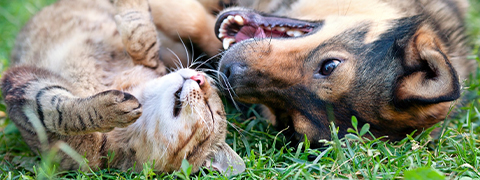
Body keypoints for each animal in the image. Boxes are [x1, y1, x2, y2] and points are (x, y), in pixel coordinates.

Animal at [0, 0, 244, 176]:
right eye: (209, 86)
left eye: (211, 112)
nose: (200, 77)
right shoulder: (152, 61)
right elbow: (142, 38)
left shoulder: (23, 90)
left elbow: (59, 113)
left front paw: (106, 110)